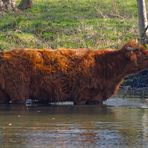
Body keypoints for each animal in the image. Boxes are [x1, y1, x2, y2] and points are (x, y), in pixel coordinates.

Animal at [0, 40, 148, 104]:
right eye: (141, 53)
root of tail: (5, 54)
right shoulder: (82, 96)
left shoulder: (97, 98)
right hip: (18, 94)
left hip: (4, 94)